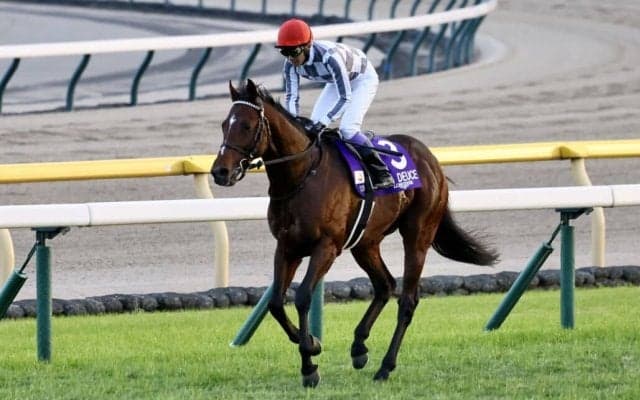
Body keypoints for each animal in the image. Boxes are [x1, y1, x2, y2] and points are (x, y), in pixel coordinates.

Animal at [211, 79, 499, 387]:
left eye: (247, 126)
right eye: (224, 124)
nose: (220, 172)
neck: (303, 176)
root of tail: (431, 160)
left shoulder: (326, 246)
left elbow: (302, 297)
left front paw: (309, 363)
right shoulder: (287, 246)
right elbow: (276, 303)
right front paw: (311, 345)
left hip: (418, 235)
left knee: (407, 300)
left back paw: (385, 366)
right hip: (365, 242)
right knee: (385, 285)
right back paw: (359, 347)